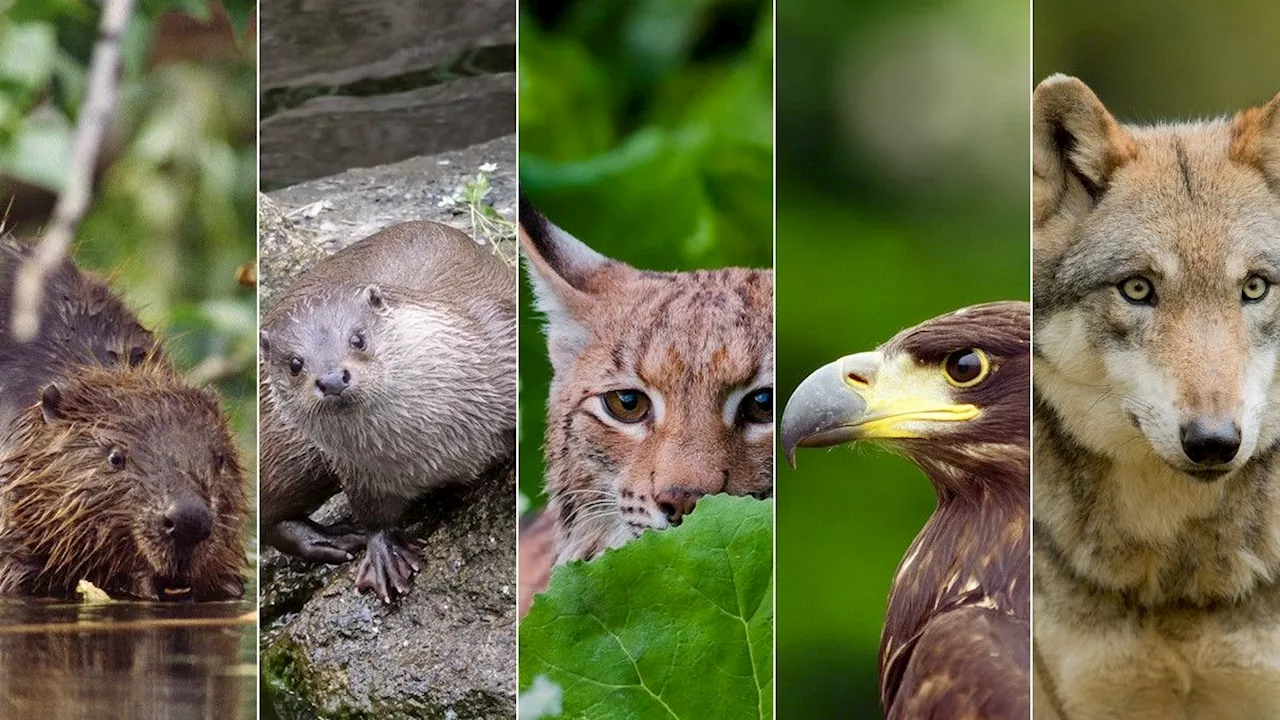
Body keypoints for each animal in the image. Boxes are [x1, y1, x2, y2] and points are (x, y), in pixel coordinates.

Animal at [259, 219, 514, 599]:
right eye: (294, 364)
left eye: (358, 338)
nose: (332, 379)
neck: (432, 445)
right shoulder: (357, 471)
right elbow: (373, 515)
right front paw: (384, 553)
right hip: (290, 443)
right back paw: (332, 538)